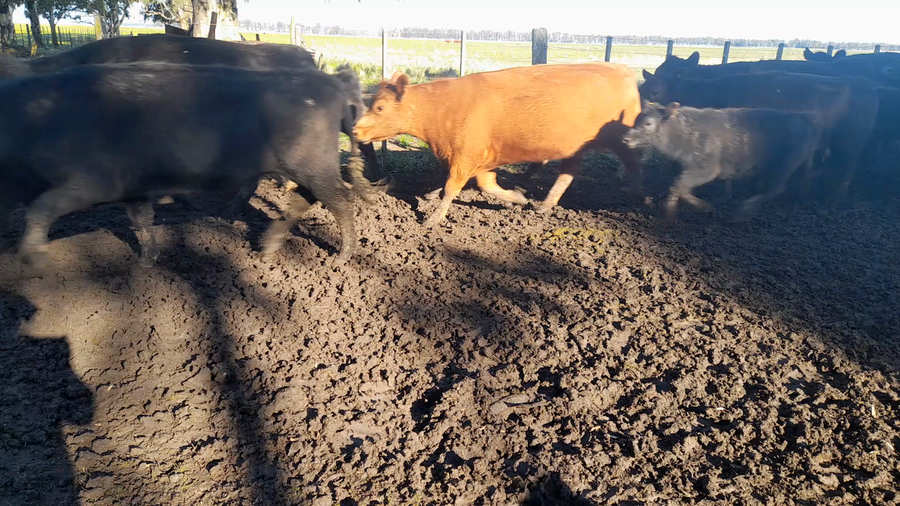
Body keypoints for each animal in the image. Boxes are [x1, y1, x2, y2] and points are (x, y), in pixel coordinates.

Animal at [0, 62, 378, 276]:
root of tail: (335, 81)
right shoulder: (133, 185)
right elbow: (141, 220)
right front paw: (147, 262)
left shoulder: (91, 181)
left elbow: (41, 208)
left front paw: (34, 262)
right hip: (305, 166)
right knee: (307, 198)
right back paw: (267, 247)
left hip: (312, 164)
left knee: (340, 200)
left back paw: (343, 256)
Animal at [352, 63, 644, 228]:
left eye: (379, 107)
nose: (355, 129)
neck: (441, 109)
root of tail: (623, 70)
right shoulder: (479, 159)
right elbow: (486, 185)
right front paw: (517, 199)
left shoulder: (465, 156)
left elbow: (451, 188)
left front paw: (433, 219)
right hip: (574, 147)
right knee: (567, 173)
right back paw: (543, 204)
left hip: (621, 140)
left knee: (634, 162)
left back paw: (641, 196)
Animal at [623, 102, 821, 221]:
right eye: (636, 119)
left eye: (649, 123)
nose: (626, 138)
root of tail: (804, 118)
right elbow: (680, 187)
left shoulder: (707, 169)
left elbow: (678, 185)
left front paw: (672, 212)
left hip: (784, 165)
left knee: (776, 188)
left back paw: (742, 212)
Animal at [639, 70, 877, 202]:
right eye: (641, 90)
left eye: (655, 93)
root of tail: (863, 81)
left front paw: (730, 191)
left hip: (852, 141)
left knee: (849, 168)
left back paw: (837, 197)